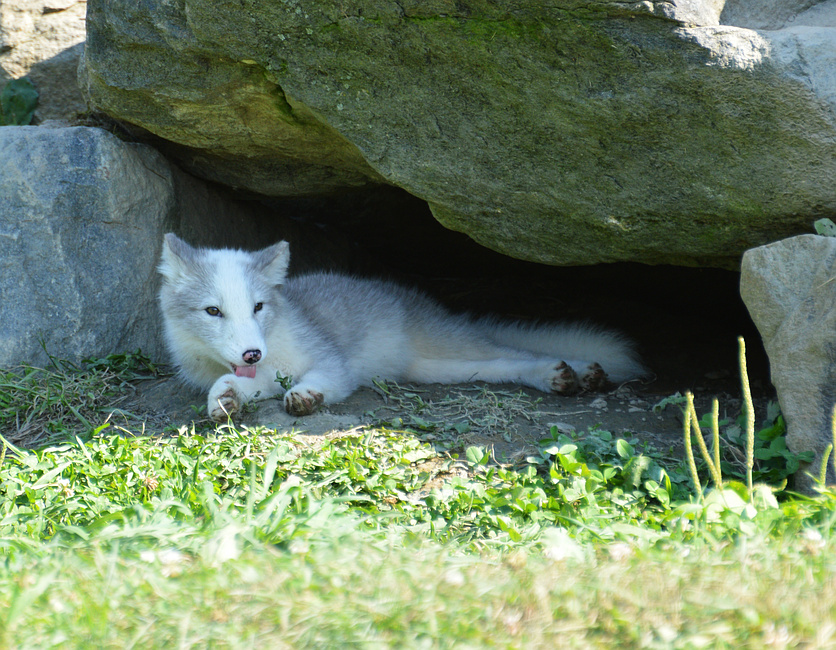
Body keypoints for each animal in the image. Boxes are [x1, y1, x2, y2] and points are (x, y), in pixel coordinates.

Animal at [157, 234, 646, 421]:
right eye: (213, 312)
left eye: (258, 306)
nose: (251, 353)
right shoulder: (258, 375)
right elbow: (236, 385)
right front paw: (224, 398)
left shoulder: (332, 361)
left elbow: (322, 378)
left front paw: (307, 395)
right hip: (437, 369)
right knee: (503, 365)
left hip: (451, 346)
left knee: (521, 353)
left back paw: (574, 372)